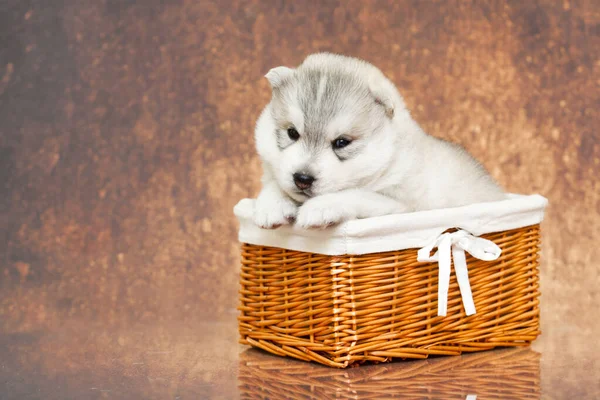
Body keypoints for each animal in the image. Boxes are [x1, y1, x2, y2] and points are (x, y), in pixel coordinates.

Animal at [251, 53, 504, 230]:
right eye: (292, 133)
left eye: (341, 142)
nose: (303, 179)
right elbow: (274, 184)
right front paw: (271, 205)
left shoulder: (400, 206)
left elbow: (354, 194)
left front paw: (321, 207)